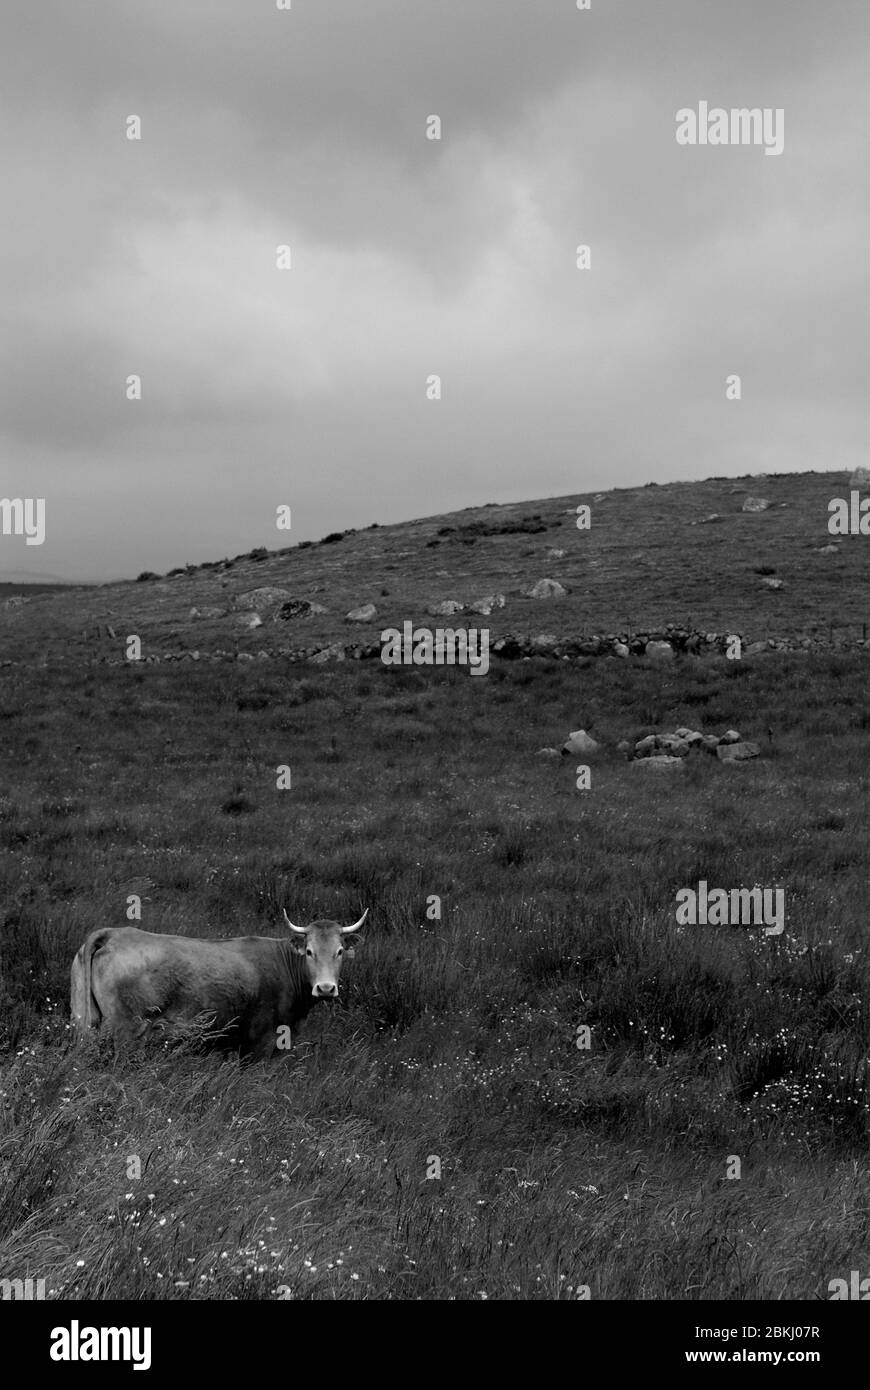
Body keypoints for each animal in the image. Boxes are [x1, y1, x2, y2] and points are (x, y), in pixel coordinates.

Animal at [69, 906, 364, 1056]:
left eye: (340, 951)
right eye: (310, 951)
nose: (325, 988)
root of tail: (113, 934)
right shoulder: (263, 1041)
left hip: (84, 1022)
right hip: (128, 1030)